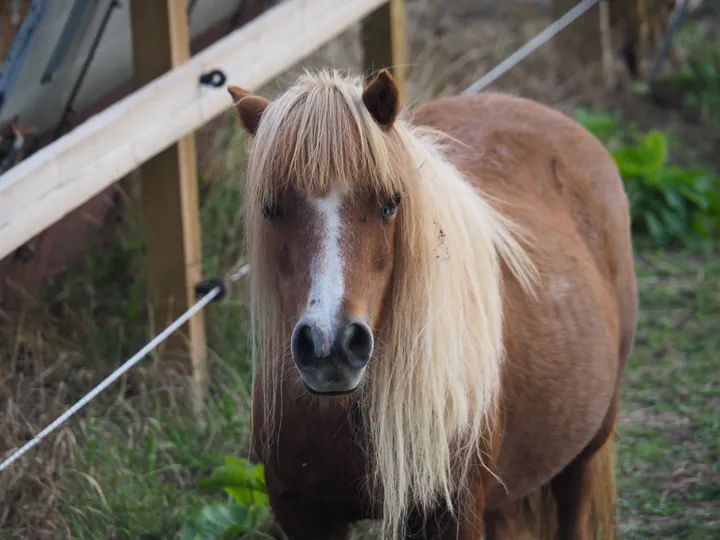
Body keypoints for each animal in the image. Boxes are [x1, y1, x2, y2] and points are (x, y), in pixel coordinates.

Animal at [228, 68, 640, 540]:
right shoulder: (301, 511)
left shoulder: (452, 513)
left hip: (585, 449)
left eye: (391, 202)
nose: (331, 347)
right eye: (271, 209)